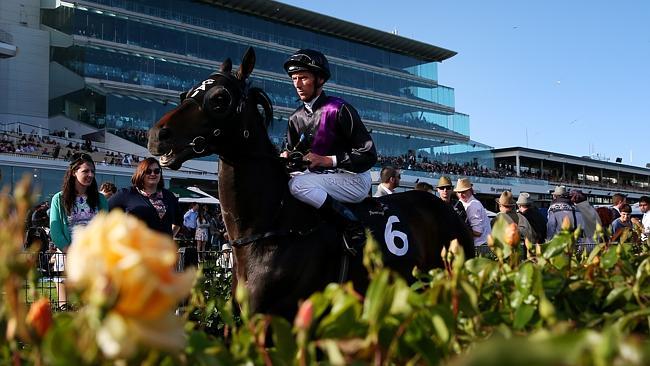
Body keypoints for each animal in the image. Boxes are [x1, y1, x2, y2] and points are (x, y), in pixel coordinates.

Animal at [147, 47, 470, 318]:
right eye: (185, 94)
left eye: (219, 98)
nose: (157, 135)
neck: (269, 229)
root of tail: (446, 209)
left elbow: (365, 150)